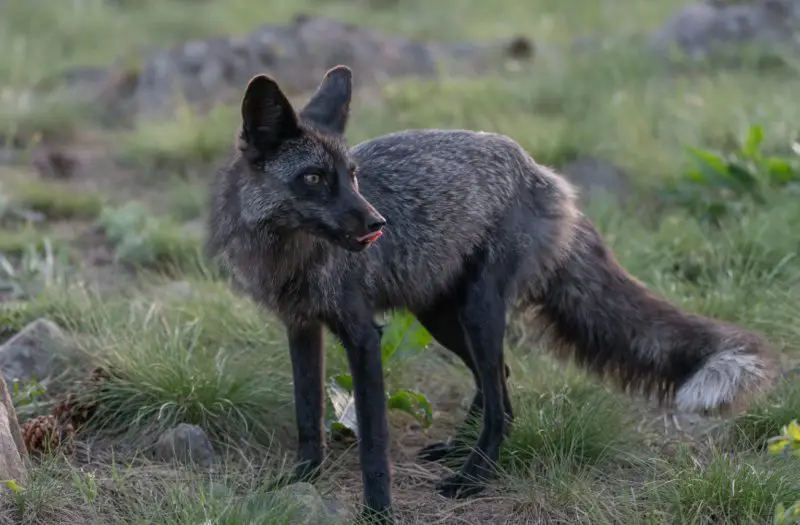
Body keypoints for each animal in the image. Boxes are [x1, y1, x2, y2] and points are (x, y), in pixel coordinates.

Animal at [205, 64, 777, 522]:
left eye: (354, 177)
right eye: (314, 178)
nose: (377, 223)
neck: (293, 257)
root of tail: (543, 172)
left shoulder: (364, 336)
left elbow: (373, 445)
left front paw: (378, 512)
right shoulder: (301, 326)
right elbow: (307, 417)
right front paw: (299, 480)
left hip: (479, 311)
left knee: (501, 396)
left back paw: (476, 475)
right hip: (441, 314)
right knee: (497, 378)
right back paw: (461, 449)